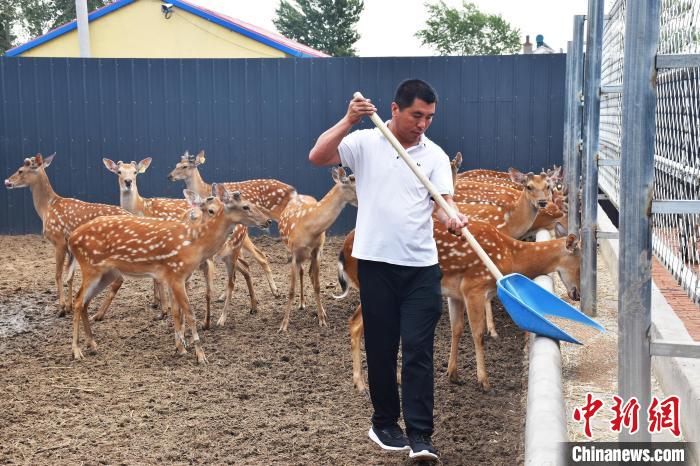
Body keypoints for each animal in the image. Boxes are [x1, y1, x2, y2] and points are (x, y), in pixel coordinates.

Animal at [3, 155, 129, 314]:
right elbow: (70, 277)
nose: (7, 181)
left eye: (20, 170)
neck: (46, 208)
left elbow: (58, 274)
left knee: (119, 278)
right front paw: (69, 306)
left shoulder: (59, 241)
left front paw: (62, 307)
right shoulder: (70, 248)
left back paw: (98, 314)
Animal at [68, 186, 270, 364]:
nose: (267, 221)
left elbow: (177, 312)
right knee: (78, 301)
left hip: (107, 273)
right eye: (246, 206)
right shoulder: (176, 274)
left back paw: (93, 345)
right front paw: (200, 355)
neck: (196, 245)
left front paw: (181, 348)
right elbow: (189, 313)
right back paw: (76, 351)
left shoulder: (179, 276)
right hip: (90, 266)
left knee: (84, 302)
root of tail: (71, 238)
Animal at [278, 167, 358, 332]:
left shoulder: (317, 251)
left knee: (308, 273)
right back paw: (302, 303)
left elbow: (317, 285)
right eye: (353, 181)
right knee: (302, 272)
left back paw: (318, 309)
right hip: (292, 251)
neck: (309, 228)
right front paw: (283, 325)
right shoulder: (294, 253)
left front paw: (322, 319)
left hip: (316, 253)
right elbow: (291, 290)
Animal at [338, 220, 580, 392]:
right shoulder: (474, 286)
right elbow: (478, 334)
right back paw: (361, 384)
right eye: (579, 264)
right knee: (356, 325)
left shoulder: (456, 294)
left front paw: (452, 374)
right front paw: (484, 381)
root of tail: (342, 254)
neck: (510, 256)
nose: (577, 294)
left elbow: (458, 329)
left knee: (357, 323)